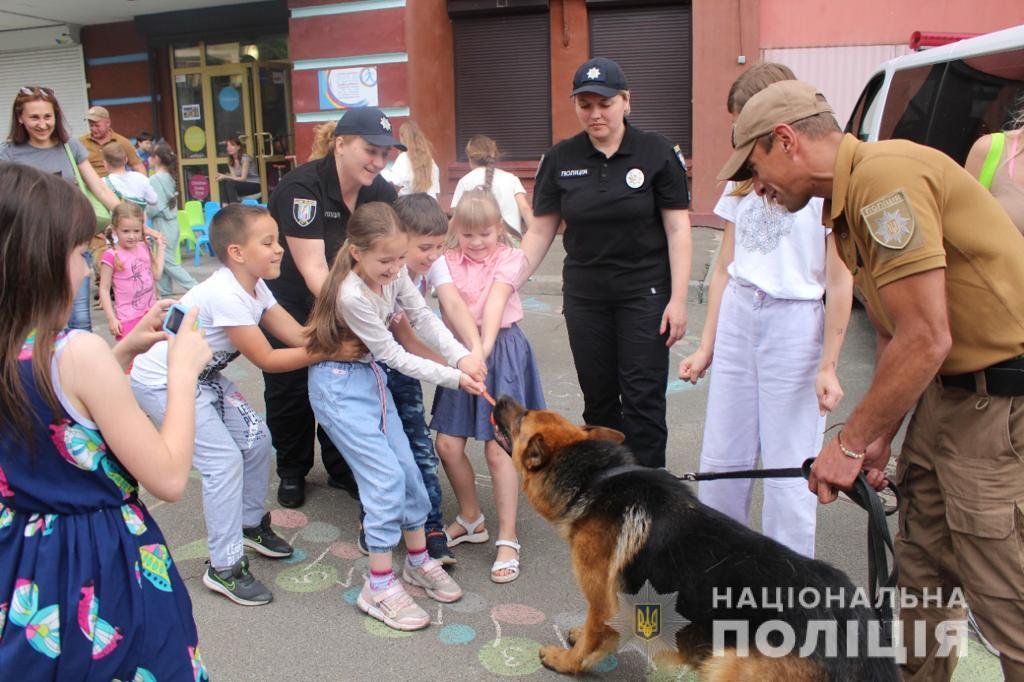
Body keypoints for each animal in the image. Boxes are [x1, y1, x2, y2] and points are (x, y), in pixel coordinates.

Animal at [491, 395, 901, 675]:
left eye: (522, 417)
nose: (503, 397)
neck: (596, 478)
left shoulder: (602, 599)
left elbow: (592, 638)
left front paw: (565, 660)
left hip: (727, 664)